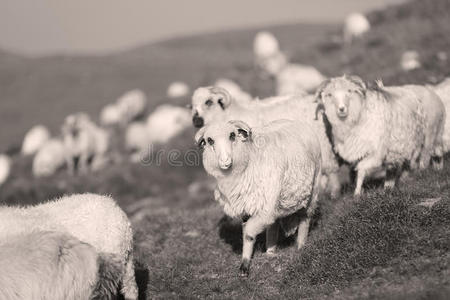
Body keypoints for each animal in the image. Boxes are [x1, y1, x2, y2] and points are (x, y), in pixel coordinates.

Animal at [190, 86, 342, 198]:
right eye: (192, 106)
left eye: (208, 102)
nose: (196, 120)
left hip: (322, 142)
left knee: (331, 168)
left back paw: (334, 193)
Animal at [195, 118, 322, 276]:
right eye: (209, 140)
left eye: (232, 135)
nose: (225, 161)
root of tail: (295, 121)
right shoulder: (246, 207)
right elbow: (246, 235)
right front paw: (245, 264)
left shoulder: (265, 206)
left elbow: (249, 233)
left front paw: (244, 266)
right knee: (273, 223)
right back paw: (270, 251)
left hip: (313, 186)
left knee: (305, 217)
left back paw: (301, 246)